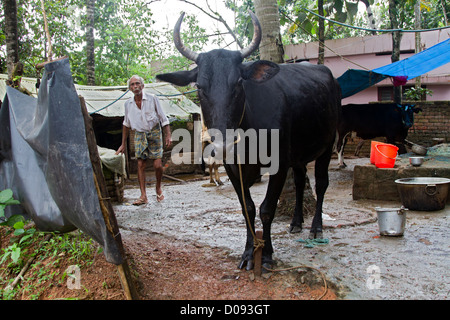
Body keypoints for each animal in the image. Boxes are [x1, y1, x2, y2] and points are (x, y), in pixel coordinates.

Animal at [156, 12, 342, 272]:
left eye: (238, 83)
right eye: (200, 87)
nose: (222, 143)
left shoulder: (279, 163)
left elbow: (267, 209)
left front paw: (266, 255)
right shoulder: (234, 168)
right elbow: (248, 208)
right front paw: (247, 253)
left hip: (327, 144)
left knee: (322, 184)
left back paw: (316, 227)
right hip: (298, 155)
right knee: (299, 181)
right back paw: (296, 222)